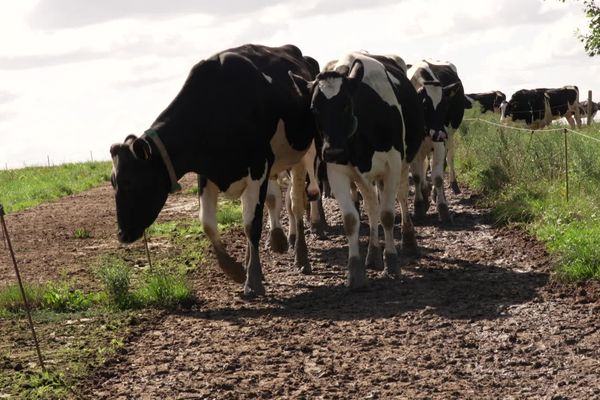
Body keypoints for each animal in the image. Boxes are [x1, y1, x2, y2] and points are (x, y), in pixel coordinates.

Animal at [110, 45, 322, 298]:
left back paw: (301, 256)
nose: (122, 234)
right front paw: (236, 270)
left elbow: (252, 225)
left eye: (130, 181)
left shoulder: (258, 168)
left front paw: (252, 280)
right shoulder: (206, 173)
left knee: (297, 203)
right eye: (112, 182)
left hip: (303, 155)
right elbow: (208, 223)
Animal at [290, 52, 422, 288]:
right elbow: (352, 220)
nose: (333, 151)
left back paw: (408, 240)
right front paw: (355, 272)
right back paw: (373, 254)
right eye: (314, 108)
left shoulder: (392, 166)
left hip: (403, 164)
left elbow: (388, 215)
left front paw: (392, 264)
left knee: (400, 197)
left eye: (346, 105)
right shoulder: (337, 172)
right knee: (371, 205)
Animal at [410, 59, 466, 223]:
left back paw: (451, 186)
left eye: (446, 105)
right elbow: (417, 176)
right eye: (424, 105)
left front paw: (443, 209)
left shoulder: (440, 143)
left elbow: (438, 177)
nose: (440, 134)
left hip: (450, 136)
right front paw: (419, 206)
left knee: (449, 159)